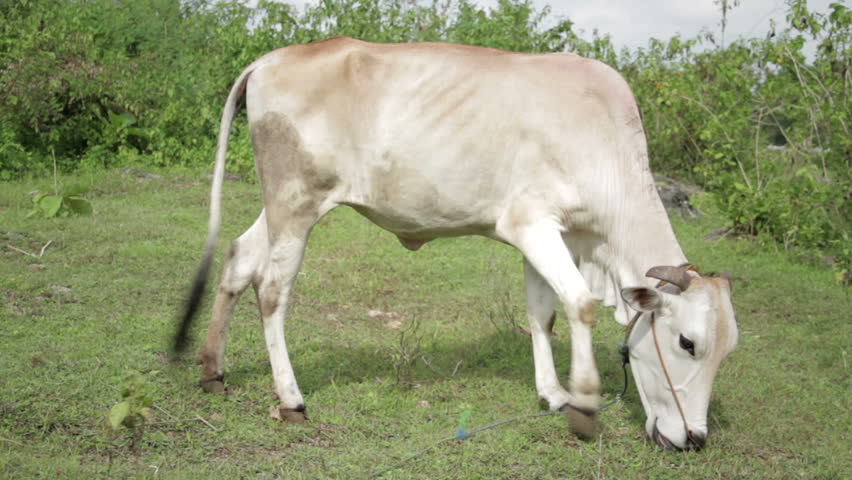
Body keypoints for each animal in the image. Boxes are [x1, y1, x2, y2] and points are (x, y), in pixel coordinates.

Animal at [173, 36, 740, 450]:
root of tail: (270, 58)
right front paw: (582, 407)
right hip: (295, 205)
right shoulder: (531, 224)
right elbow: (578, 305)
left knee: (239, 259)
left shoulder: (547, 234)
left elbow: (542, 314)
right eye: (687, 343)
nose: (694, 439)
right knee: (272, 290)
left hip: (281, 207)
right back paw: (291, 399)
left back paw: (212, 371)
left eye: (725, 353)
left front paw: (553, 394)